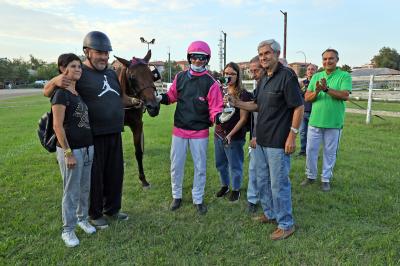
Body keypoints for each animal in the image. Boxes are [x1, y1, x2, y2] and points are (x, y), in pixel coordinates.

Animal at [111, 49, 160, 187]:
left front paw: (143, 179)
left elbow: (138, 152)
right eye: (132, 77)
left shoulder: (137, 124)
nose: (153, 107)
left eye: (151, 75)